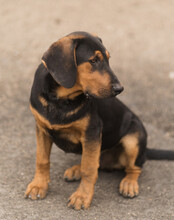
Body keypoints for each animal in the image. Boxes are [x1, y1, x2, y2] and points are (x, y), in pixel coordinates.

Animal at [24, 31, 174, 211]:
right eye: (94, 61)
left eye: (108, 59)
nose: (120, 89)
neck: (60, 99)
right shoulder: (42, 129)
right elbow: (42, 160)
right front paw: (38, 186)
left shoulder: (92, 132)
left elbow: (89, 169)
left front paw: (82, 196)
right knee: (97, 163)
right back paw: (76, 170)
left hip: (134, 139)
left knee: (134, 167)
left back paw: (129, 184)